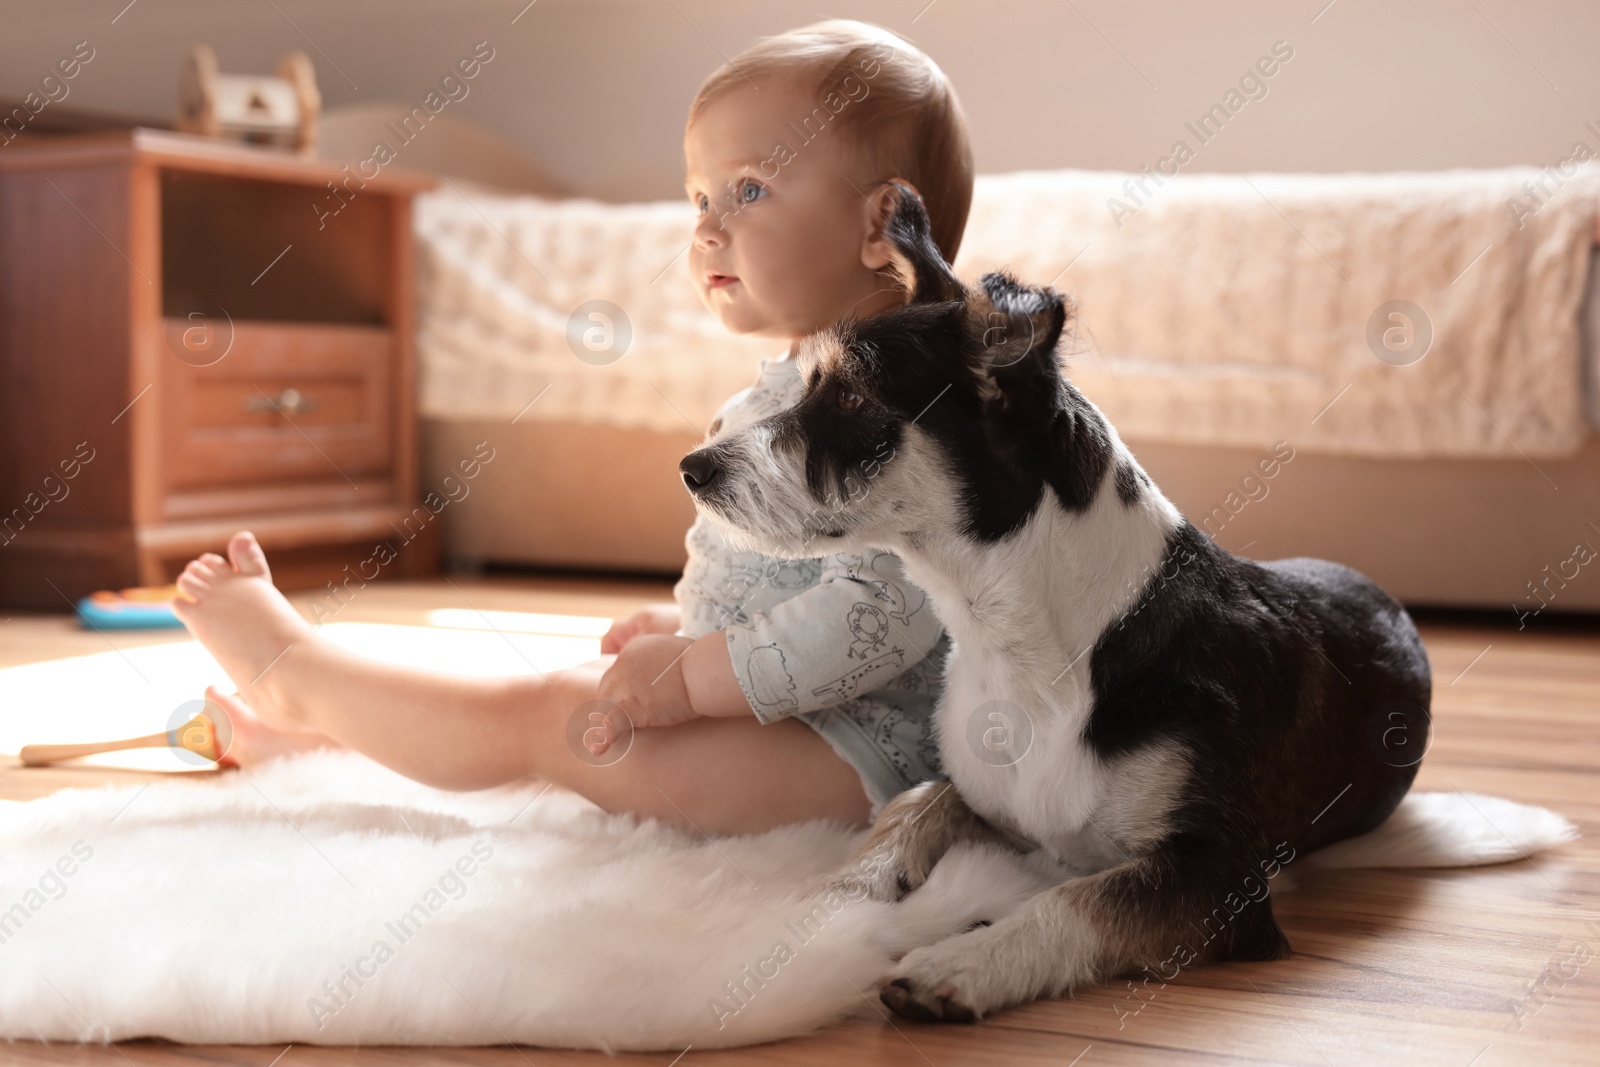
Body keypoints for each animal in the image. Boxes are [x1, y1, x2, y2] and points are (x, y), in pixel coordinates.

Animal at [678, 185, 1574, 1023]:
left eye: (852, 399)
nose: (692, 466)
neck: (1025, 644)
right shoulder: (984, 791)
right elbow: (912, 802)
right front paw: (829, 898)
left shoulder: (1222, 882)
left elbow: (1076, 900)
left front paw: (960, 961)